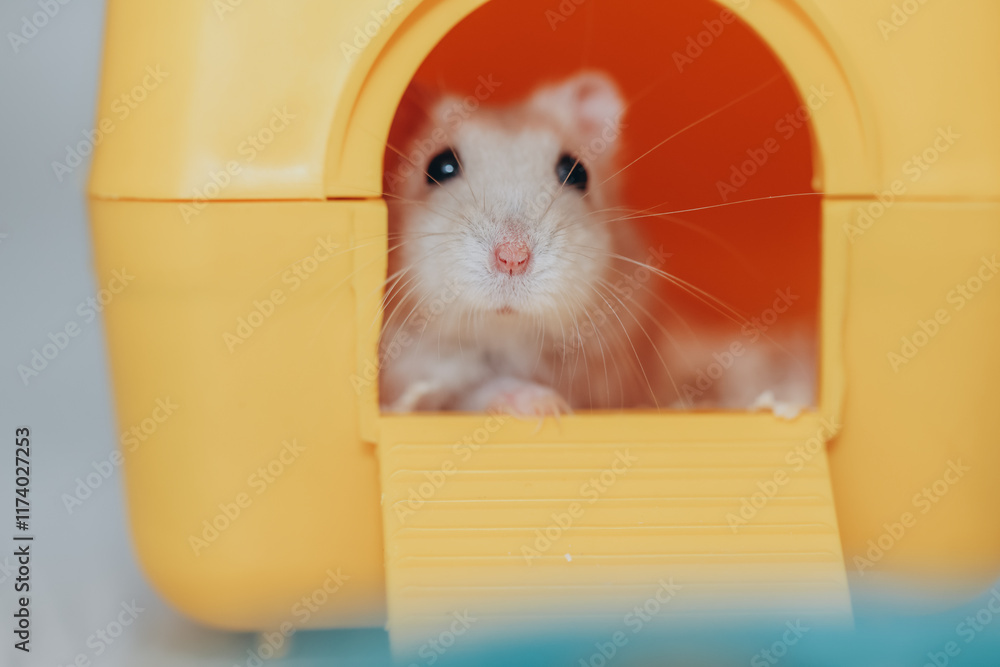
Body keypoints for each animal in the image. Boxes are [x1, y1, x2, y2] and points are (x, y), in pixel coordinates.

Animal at [378, 72, 814, 417]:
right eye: (440, 167)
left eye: (576, 173)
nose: (512, 258)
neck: (508, 337)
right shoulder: (408, 377)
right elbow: (466, 391)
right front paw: (545, 407)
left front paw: (554, 406)